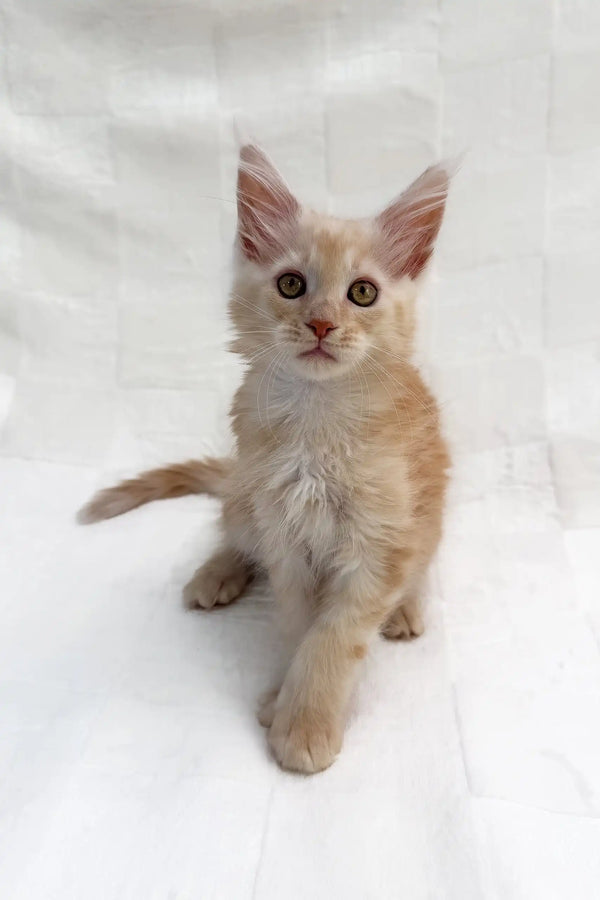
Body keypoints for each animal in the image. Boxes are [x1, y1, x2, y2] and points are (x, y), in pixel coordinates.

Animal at [81, 146, 454, 772]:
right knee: (234, 533)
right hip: (244, 496)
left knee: (420, 562)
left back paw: (405, 608)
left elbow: (333, 638)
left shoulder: (379, 543)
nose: (322, 324)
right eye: (291, 284)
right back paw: (216, 573)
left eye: (362, 293)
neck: (316, 422)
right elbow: (301, 626)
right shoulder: (285, 534)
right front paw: (285, 700)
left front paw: (304, 724)